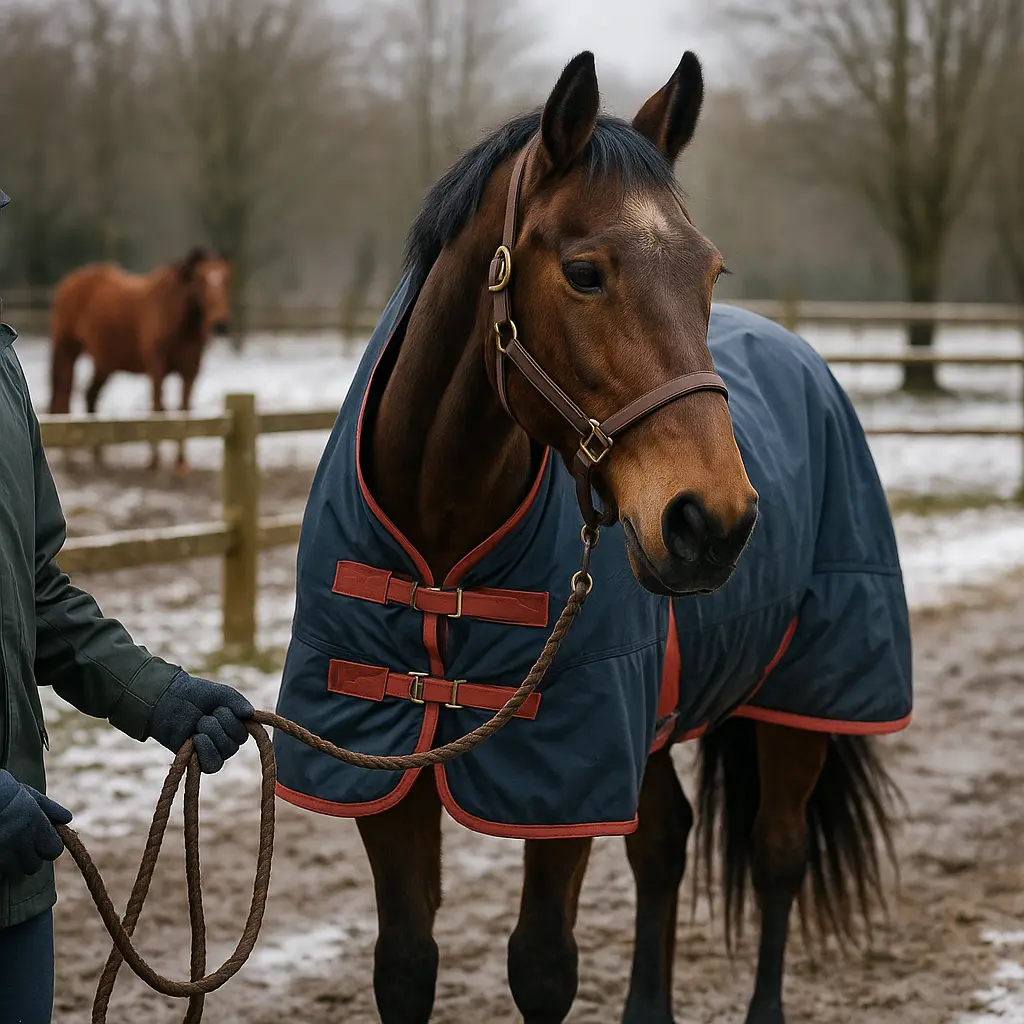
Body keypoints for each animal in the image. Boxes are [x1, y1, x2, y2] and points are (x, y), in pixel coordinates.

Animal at [48, 247, 232, 471]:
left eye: (226, 278)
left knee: (90, 395)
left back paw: (97, 454)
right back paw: (68, 456)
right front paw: (154, 460)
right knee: (63, 395)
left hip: (104, 363)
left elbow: (184, 411)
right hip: (67, 351)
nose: (220, 324)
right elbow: (157, 409)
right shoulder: (157, 369)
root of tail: (69, 282)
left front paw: (181, 463)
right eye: (200, 278)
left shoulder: (190, 372)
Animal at [273, 51, 911, 1024]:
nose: (713, 520)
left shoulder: (566, 784)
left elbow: (542, 965)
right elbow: (406, 964)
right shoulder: (386, 770)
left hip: (801, 695)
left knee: (777, 855)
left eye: (710, 271)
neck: (441, 537)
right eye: (583, 273)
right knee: (665, 845)